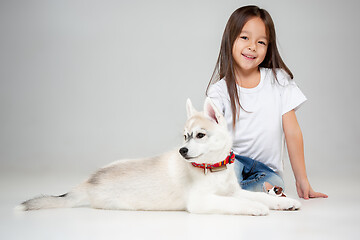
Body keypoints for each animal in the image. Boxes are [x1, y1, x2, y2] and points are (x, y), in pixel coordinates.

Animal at [17, 98, 300, 215]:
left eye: (199, 135)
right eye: (184, 137)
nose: (182, 151)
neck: (213, 169)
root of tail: (89, 181)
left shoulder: (232, 191)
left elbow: (257, 195)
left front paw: (283, 202)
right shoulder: (201, 202)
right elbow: (239, 203)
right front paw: (256, 208)